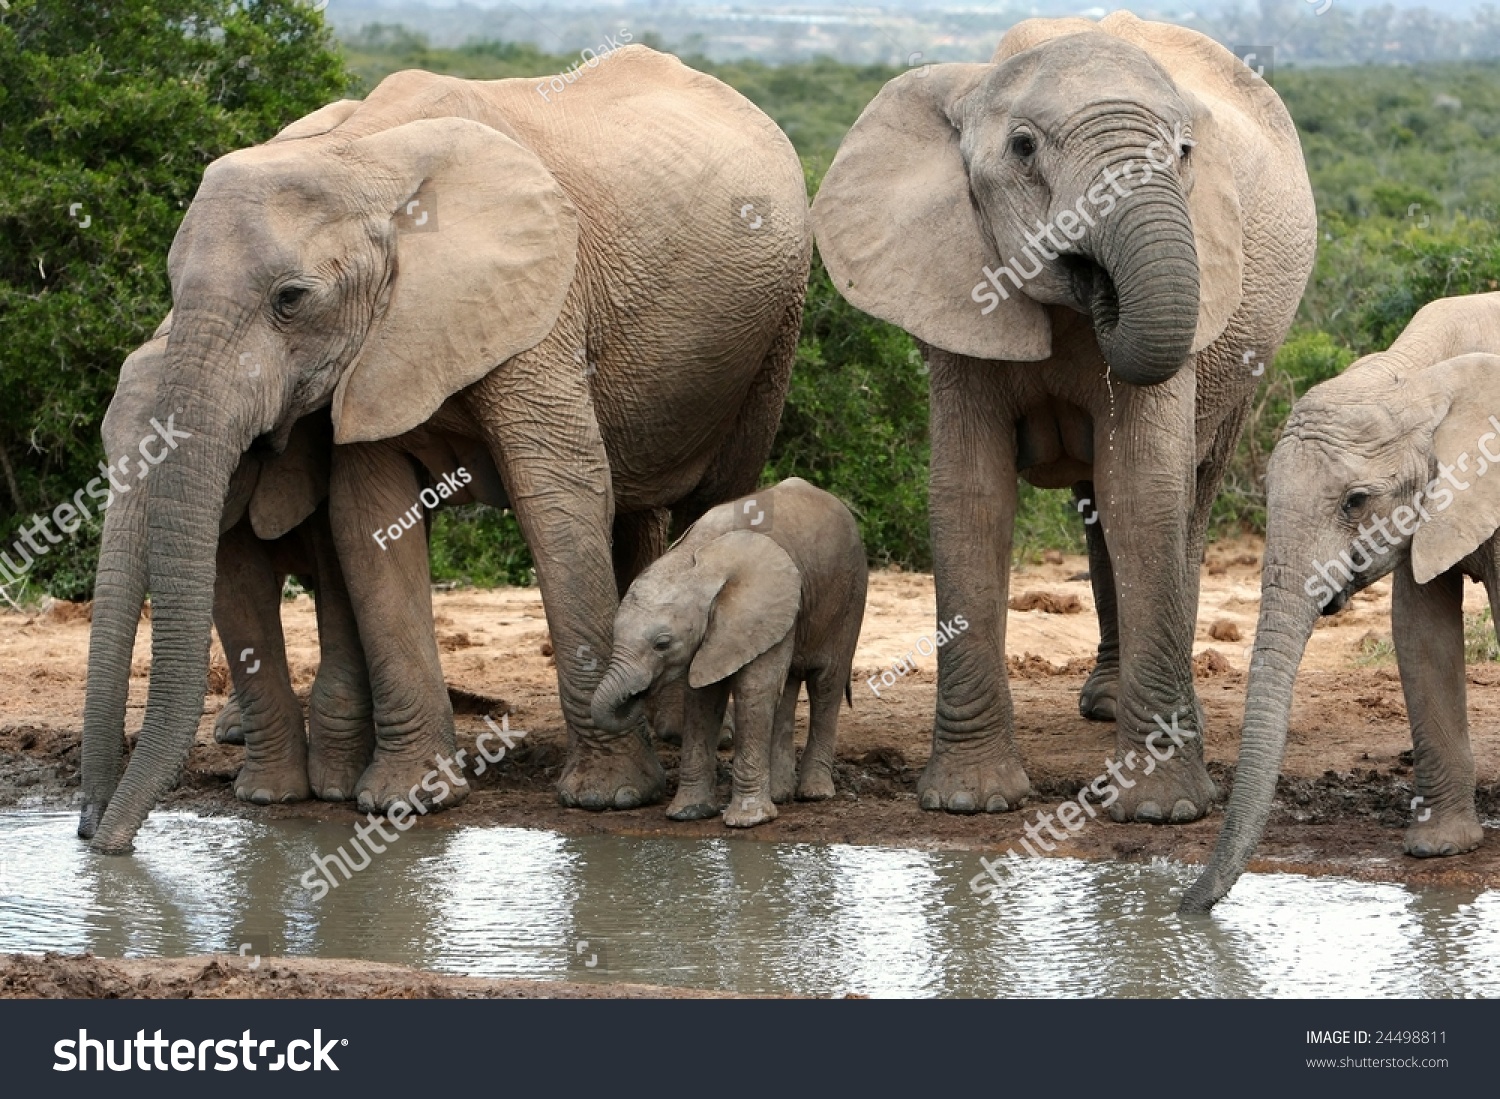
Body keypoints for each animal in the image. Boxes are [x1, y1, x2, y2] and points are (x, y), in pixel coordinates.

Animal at [82, 47, 810, 851]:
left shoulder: (538, 299)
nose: (96, 838)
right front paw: (406, 802)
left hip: (774, 328)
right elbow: (369, 517)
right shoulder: (377, 348)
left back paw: (682, 729)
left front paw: (610, 799)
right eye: (171, 286)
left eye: (290, 299)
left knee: (717, 495)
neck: (362, 157)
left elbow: (558, 493)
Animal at [588, 476, 870, 827]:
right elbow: (702, 697)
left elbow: (754, 689)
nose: (635, 695)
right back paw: (781, 794)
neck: (698, 559)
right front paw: (687, 814)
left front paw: (748, 821)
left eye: (662, 644)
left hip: (850, 596)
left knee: (826, 685)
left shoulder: (761, 608)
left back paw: (815, 794)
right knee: (788, 686)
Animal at [810, 12, 1314, 821]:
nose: (1099, 286)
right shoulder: (953, 284)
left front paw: (1161, 810)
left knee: (1186, 501)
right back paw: (1105, 705)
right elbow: (970, 494)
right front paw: (971, 802)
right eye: (1023, 148)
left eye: (1184, 153)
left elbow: (1145, 490)